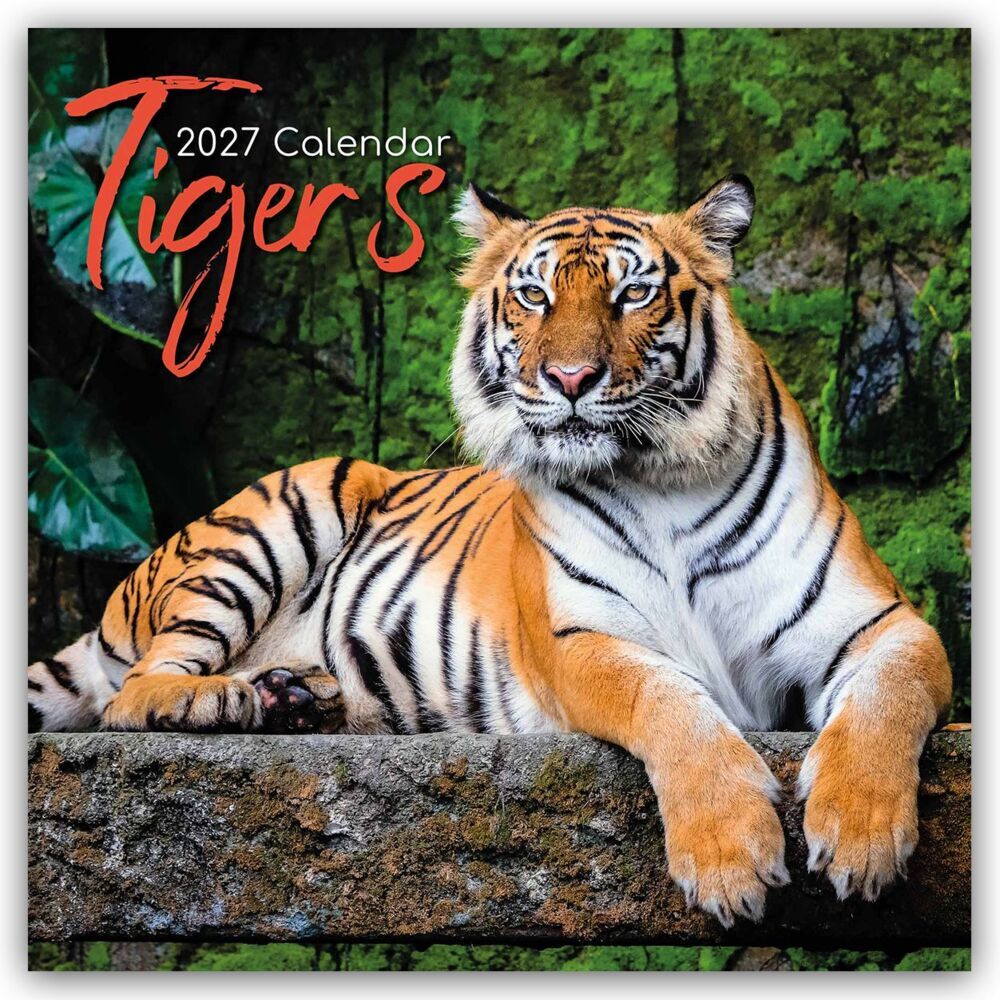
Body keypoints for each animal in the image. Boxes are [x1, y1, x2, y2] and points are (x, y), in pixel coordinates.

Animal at [28, 175, 952, 928]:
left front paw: (863, 837)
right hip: (283, 512)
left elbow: (887, 699)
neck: (661, 477)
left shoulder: (883, 623)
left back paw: (294, 697)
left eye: (634, 293)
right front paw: (730, 857)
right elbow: (670, 703)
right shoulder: (579, 642)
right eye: (536, 295)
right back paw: (218, 700)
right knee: (132, 695)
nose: (571, 380)